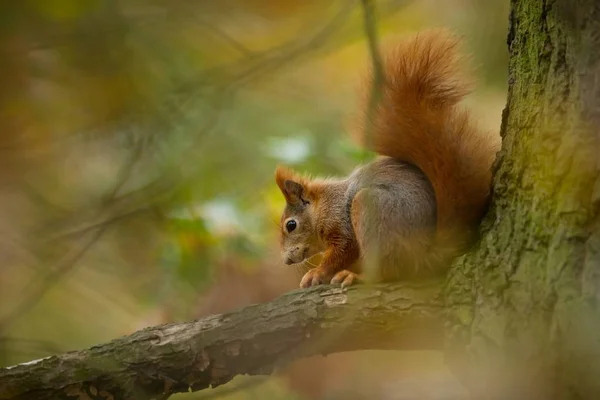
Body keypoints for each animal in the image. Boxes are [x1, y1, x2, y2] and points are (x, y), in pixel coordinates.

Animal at [274, 29, 500, 290]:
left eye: (291, 225)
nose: (286, 260)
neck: (324, 206)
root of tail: (424, 252)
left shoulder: (342, 224)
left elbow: (344, 250)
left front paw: (317, 272)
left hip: (372, 212)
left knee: (387, 271)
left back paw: (358, 277)